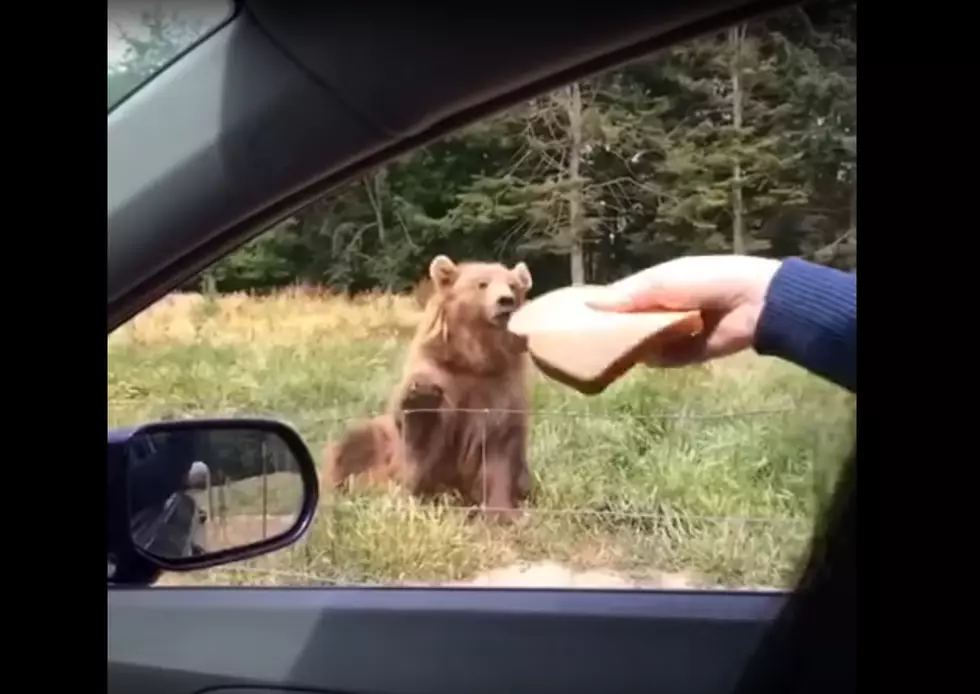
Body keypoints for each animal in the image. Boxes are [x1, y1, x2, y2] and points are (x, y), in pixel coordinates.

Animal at [320, 256, 536, 520]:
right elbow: (424, 432)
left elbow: (499, 449)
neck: (475, 358)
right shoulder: (441, 372)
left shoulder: (500, 387)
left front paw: (503, 512)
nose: (506, 300)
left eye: (513, 286)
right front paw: (422, 396)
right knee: (350, 445)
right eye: (482, 284)